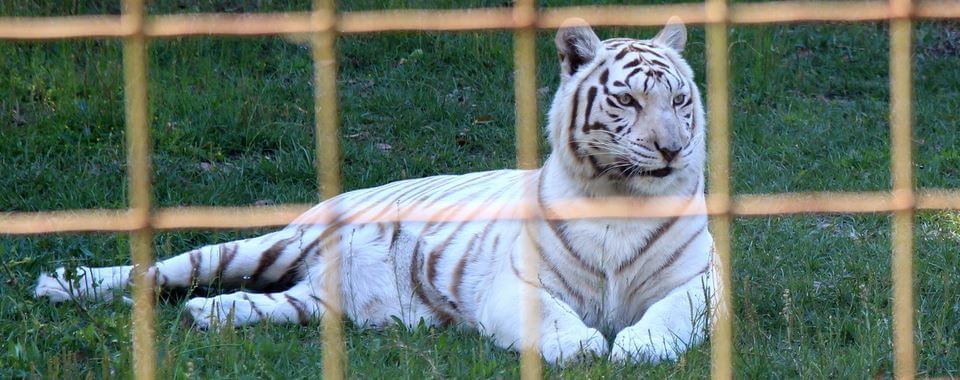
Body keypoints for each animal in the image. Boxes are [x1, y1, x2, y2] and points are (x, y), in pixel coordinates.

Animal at [35, 18, 712, 366]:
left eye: (679, 100)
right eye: (628, 100)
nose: (672, 148)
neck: (619, 201)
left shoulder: (700, 283)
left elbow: (673, 313)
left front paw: (638, 346)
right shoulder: (517, 281)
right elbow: (547, 313)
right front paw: (581, 346)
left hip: (318, 302)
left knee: (257, 302)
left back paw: (209, 315)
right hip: (270, 245)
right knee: (164, 269)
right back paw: (62, 283)